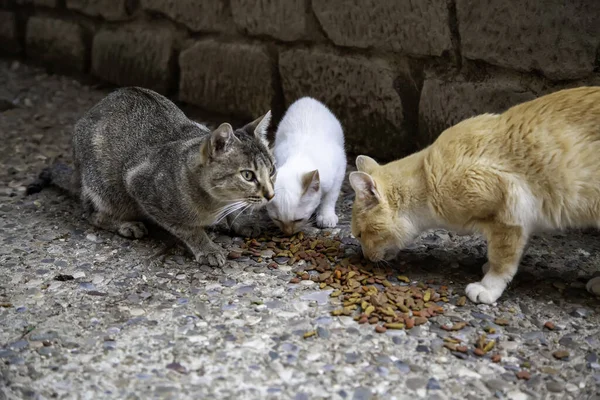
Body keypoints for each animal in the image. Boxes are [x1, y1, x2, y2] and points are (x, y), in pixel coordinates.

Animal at [28, 86, 276, 266]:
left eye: (272, 170)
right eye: (248, 175)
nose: (271, 195)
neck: (214, 204)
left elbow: (233, 211)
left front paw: (241, 222)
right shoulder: (139, 186)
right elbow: (187, 228)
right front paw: (207, 247)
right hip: (105, 191)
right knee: (91, 214)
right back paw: (125, 225)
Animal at [268, 96, 346, 234]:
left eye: (298, 220)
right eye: (277, 220)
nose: (288, 234)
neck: (299, 156)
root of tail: (306, 99)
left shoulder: (339, 169)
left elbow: (330, 197)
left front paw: (326, 216)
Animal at [350, 86, 600, 304]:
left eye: (360, 234)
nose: (365, 257)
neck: (427, 180)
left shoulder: (509, 209)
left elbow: (502, 259)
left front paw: (488, 286)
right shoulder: (519, 221)